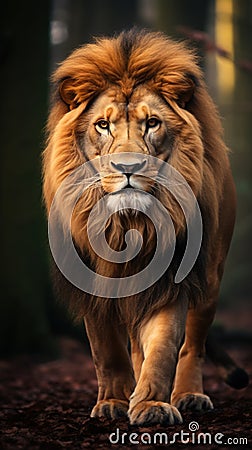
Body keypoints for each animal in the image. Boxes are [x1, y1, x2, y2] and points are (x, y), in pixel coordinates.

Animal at [42, 29, 243, 426]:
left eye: (152, 123)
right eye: (103, 125)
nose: (128, 167)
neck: (127, 224)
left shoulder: (173, 277)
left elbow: (165, 346)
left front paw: (152, 405)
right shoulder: (90, 279)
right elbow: (106, 350)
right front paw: (115, 401)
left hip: (211, 276)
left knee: (193, 344)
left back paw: (190, 395)